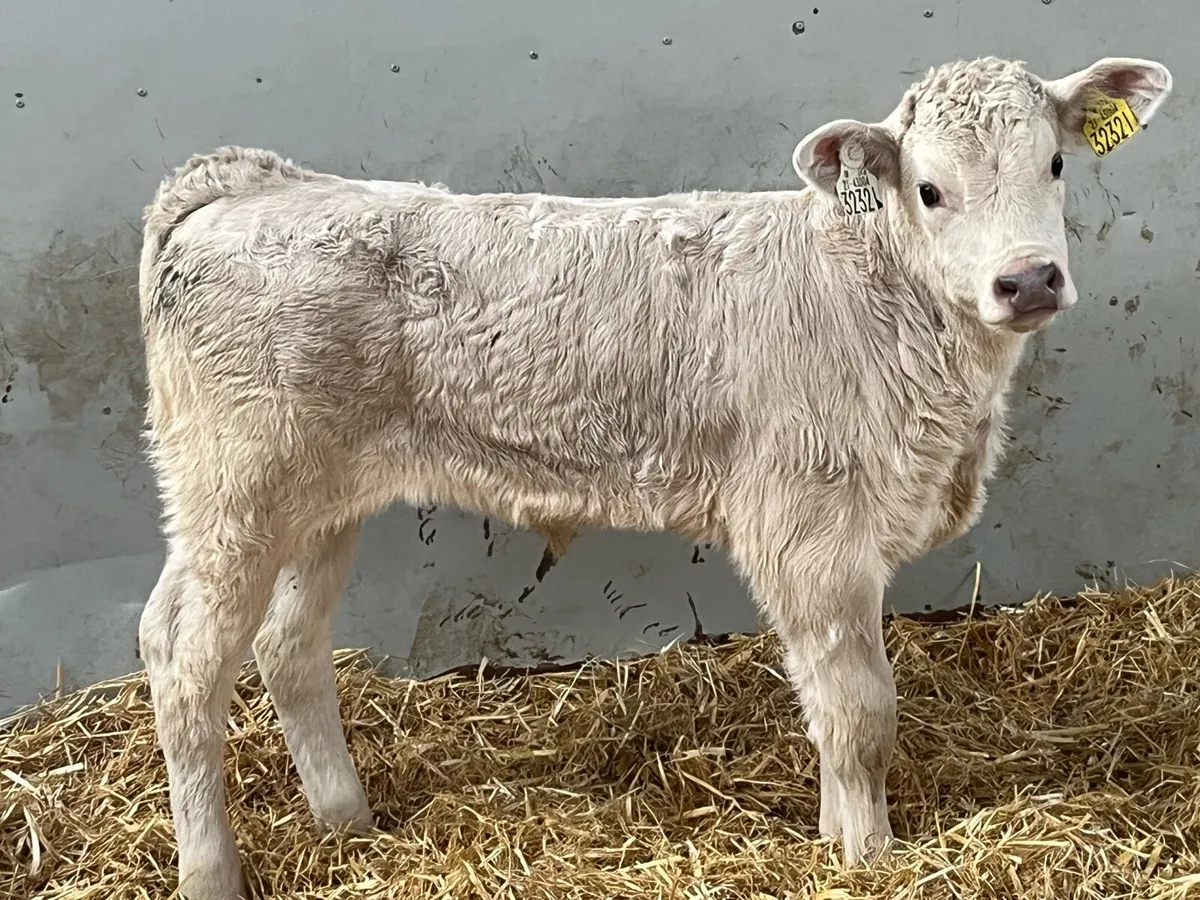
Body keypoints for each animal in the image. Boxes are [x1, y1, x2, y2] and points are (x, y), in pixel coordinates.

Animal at [134, 56, 1172, 898]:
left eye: (1056, 165)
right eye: (928, 188)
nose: (1028, 279)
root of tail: (251, 185)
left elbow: (828, 704)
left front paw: (835, 837)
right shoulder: (808, 531)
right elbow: (860, 712)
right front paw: (870, 858)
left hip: (320, 499)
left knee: (287, 646)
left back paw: (346, 821)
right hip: (235, 491)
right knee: (183, 659)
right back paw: (210, 872)